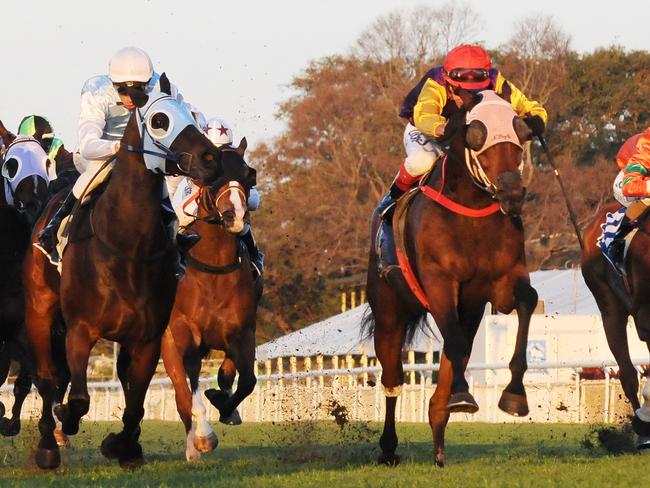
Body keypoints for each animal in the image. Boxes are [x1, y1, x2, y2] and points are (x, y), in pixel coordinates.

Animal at [22, 80, 227, 468]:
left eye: (192, 115)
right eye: (159, 120)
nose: (212, 160)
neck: (129, 246)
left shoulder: (147, 338)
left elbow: (136, 403)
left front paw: (123, 446)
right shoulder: (80, 329)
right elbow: (78, 398)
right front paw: (65, 422)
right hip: (41, 311)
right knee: (47, 377)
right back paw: (47, 445)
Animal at [161, 139, 260, 460]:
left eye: (249, 175)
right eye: (212, 178)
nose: (235, 216)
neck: (213, 268)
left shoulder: (242, 332)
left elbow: (245, 380)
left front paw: (224, 404)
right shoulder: (183, 331)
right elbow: (190, 384)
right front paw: (204, 436)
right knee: (181, 395)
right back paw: (194, 446)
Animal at [364, 89, 536, 468]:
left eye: (521, 131)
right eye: (477, 134)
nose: (512, 195)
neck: (471, 210)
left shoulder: (501, 282)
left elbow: (527, 302)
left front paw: (514, 396)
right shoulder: (439, 281)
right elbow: (453, 345)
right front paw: (462, 396)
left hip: (468, 311)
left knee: (454, 356)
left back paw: (440, 435)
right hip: (388, 313)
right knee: (393, 378)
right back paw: (388, 446)